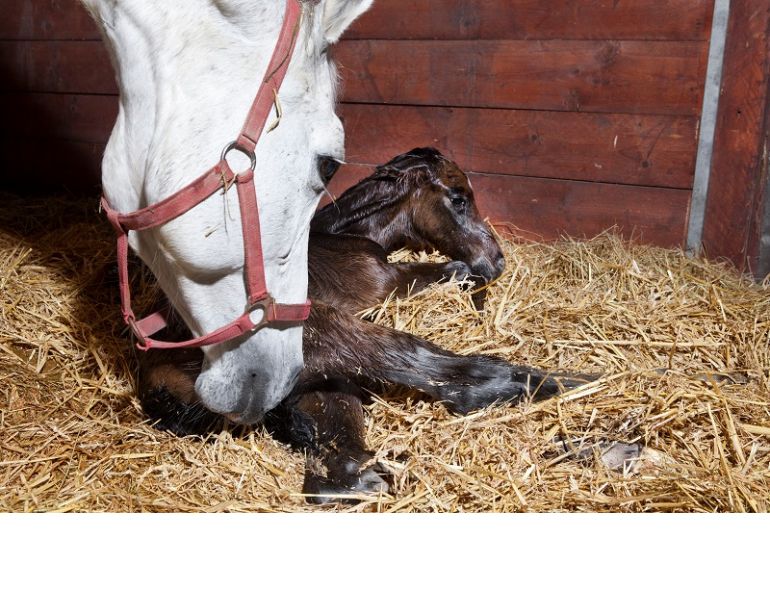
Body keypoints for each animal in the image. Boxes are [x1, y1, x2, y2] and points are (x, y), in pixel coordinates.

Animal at [136, 148, 583, 501]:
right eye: (458, 199)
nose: (498, 260)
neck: (341, 236)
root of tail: (158, 378)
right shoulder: (385, 283)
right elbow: (455, 272)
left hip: (316, 384)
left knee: (333, 472)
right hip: (331, 334)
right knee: (446, 370)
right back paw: (564, 385)